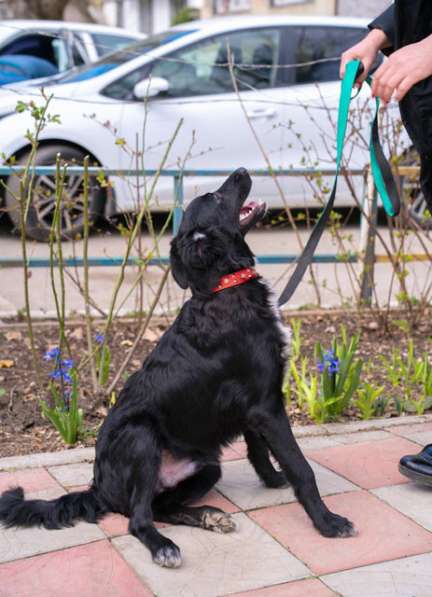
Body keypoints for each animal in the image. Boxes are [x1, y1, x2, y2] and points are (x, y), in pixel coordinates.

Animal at [0, 169, 354, 568]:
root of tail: (99, 488)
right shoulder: (266, 405)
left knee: (163, 507)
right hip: (141, 437)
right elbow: (301, 466)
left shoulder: (252, 407)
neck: (223, 289)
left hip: (207, 466)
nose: (242, 171)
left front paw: (274, 480)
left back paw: (209, 517)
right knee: (138, 519)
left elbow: (259, 452)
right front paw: (326, 521)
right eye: (215, 197)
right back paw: (163, 546)